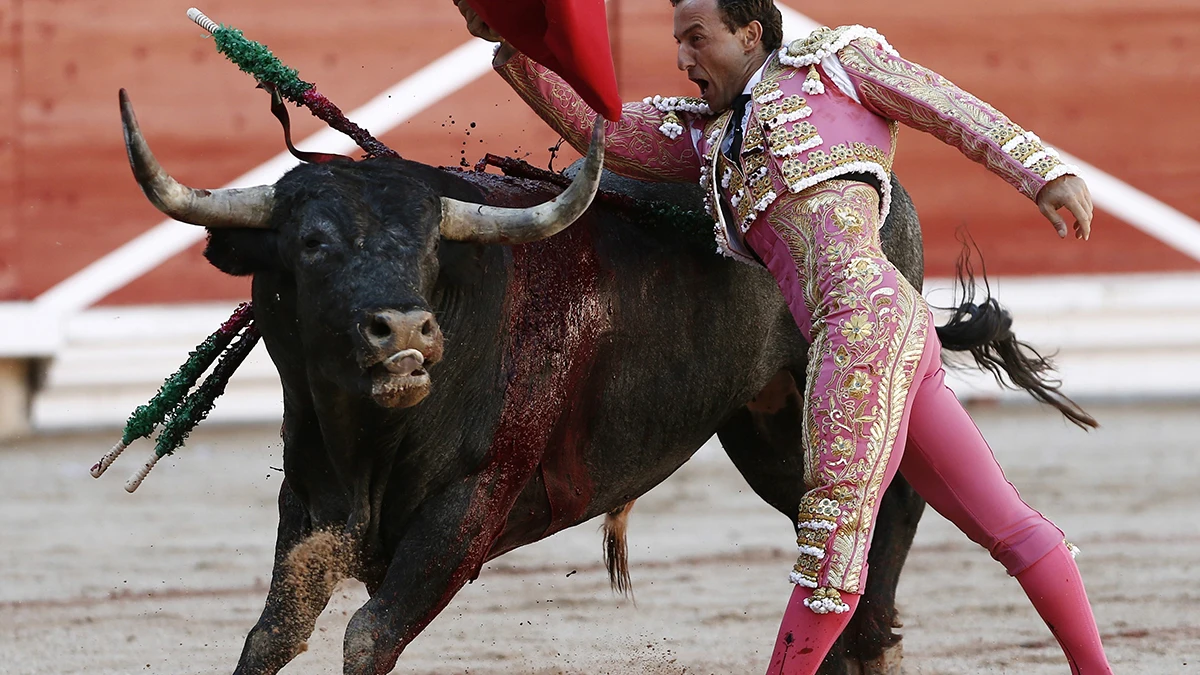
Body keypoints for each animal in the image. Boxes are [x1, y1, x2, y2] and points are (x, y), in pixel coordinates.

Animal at [117, 86, 1084, 667]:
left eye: (432, 247)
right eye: (313, 243)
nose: (406, 331)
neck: (372, 440)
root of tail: (883, 189)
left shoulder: (469, 508)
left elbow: (368, 632)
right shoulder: (310, 503)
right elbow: (271, 634)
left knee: (885, 514)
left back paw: (877, 634)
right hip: (767, 428)